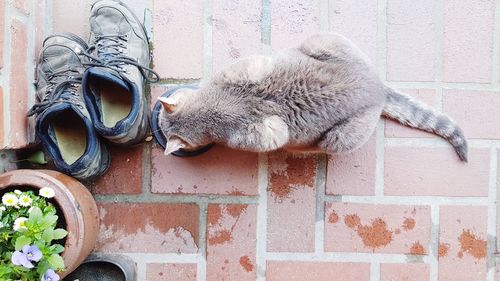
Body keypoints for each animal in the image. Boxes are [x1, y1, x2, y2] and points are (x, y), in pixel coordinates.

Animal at [157, 33, 468, 161]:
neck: (216, 106)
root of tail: (377, 87)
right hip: (324, 40)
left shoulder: (265, 133)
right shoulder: (251, 66)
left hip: (340, 138)